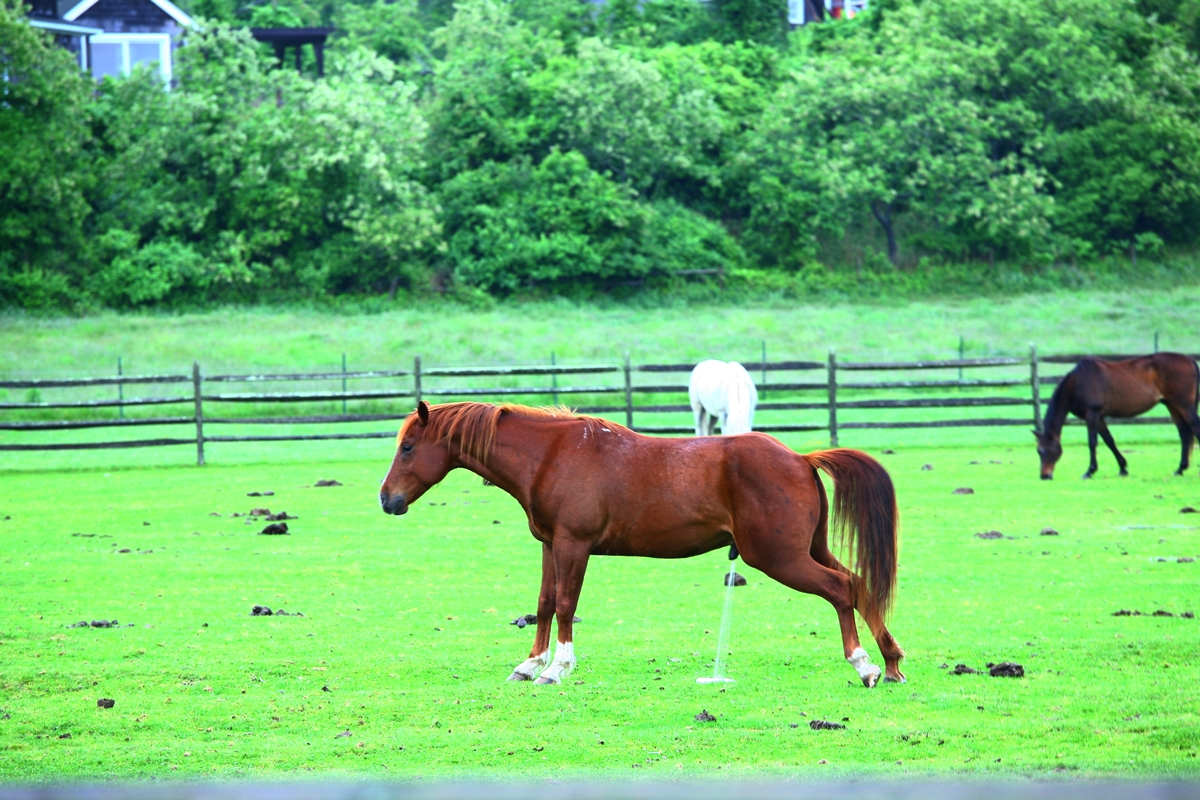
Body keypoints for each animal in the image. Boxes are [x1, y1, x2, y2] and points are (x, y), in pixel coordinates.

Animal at [379, 400, 902, 690]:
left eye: (408, 447)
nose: (387, 499)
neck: (550, 455)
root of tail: (800, 457)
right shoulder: (550, 545)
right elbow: (545, 603)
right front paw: (529, 664)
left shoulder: (574, 546)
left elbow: (566, 604)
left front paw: (556, 668)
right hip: (805, 550)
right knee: (858, 584)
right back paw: (891, 661)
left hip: (780, 558)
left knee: (840, 589)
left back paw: (865, 667)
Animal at [1032, 352, 1200, 479]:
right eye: (1038, 451)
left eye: (1046, 451)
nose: (1044, 476)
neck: (1077, 383)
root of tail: (1189, 359)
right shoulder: (1099, 417)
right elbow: (1109, 441)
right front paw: (1123, 468)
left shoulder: (1092, 414)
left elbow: (1092, 442)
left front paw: (1089, 471)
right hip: (1172, 405)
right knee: (1185, 433)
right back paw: (1180, 469)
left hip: (1184, 405)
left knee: (1195, 428)